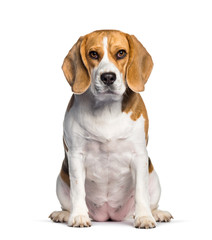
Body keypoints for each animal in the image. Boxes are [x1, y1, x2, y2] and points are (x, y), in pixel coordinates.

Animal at [49, 29, 172, 228]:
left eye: (121, 53)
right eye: (93, 54)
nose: (108, 77)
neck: (107, 108)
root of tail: (108, 215)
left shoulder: (139, 155)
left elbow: (141, 191)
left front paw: (144, 218)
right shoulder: (76, 155)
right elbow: (78, 189)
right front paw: (79, 216)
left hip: (154, 178)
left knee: (150, 200)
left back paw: (157, 213)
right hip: (61, 180)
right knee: (67, 202)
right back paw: (64, 214)